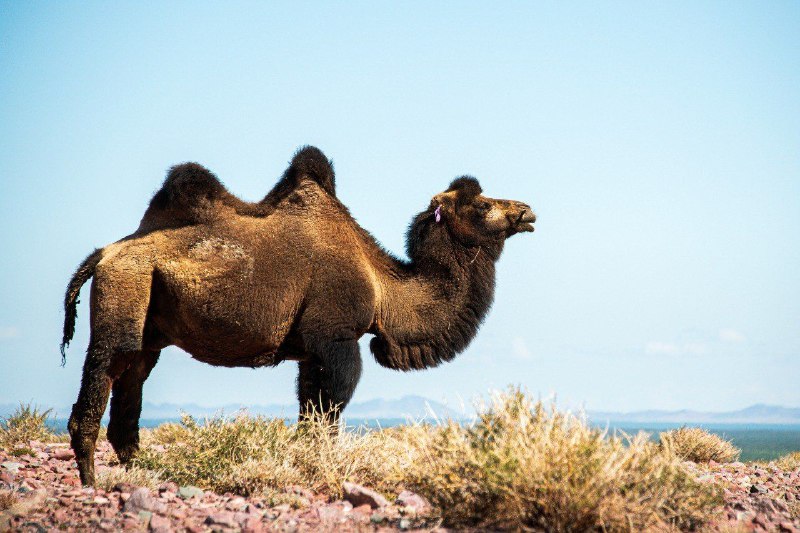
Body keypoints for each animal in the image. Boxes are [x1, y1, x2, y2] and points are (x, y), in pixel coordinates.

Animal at [61, 147, 536, 486]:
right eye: (481, 206)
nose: (526, 211)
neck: (382, 289)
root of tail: (104, 254)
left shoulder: (311, 351)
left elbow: (311, 411)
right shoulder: (338, 338)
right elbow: (331, 410)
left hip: (148, 321)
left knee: (133, 379)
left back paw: (144, 475)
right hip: (126, 289)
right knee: (107, 369)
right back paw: (92, 483)